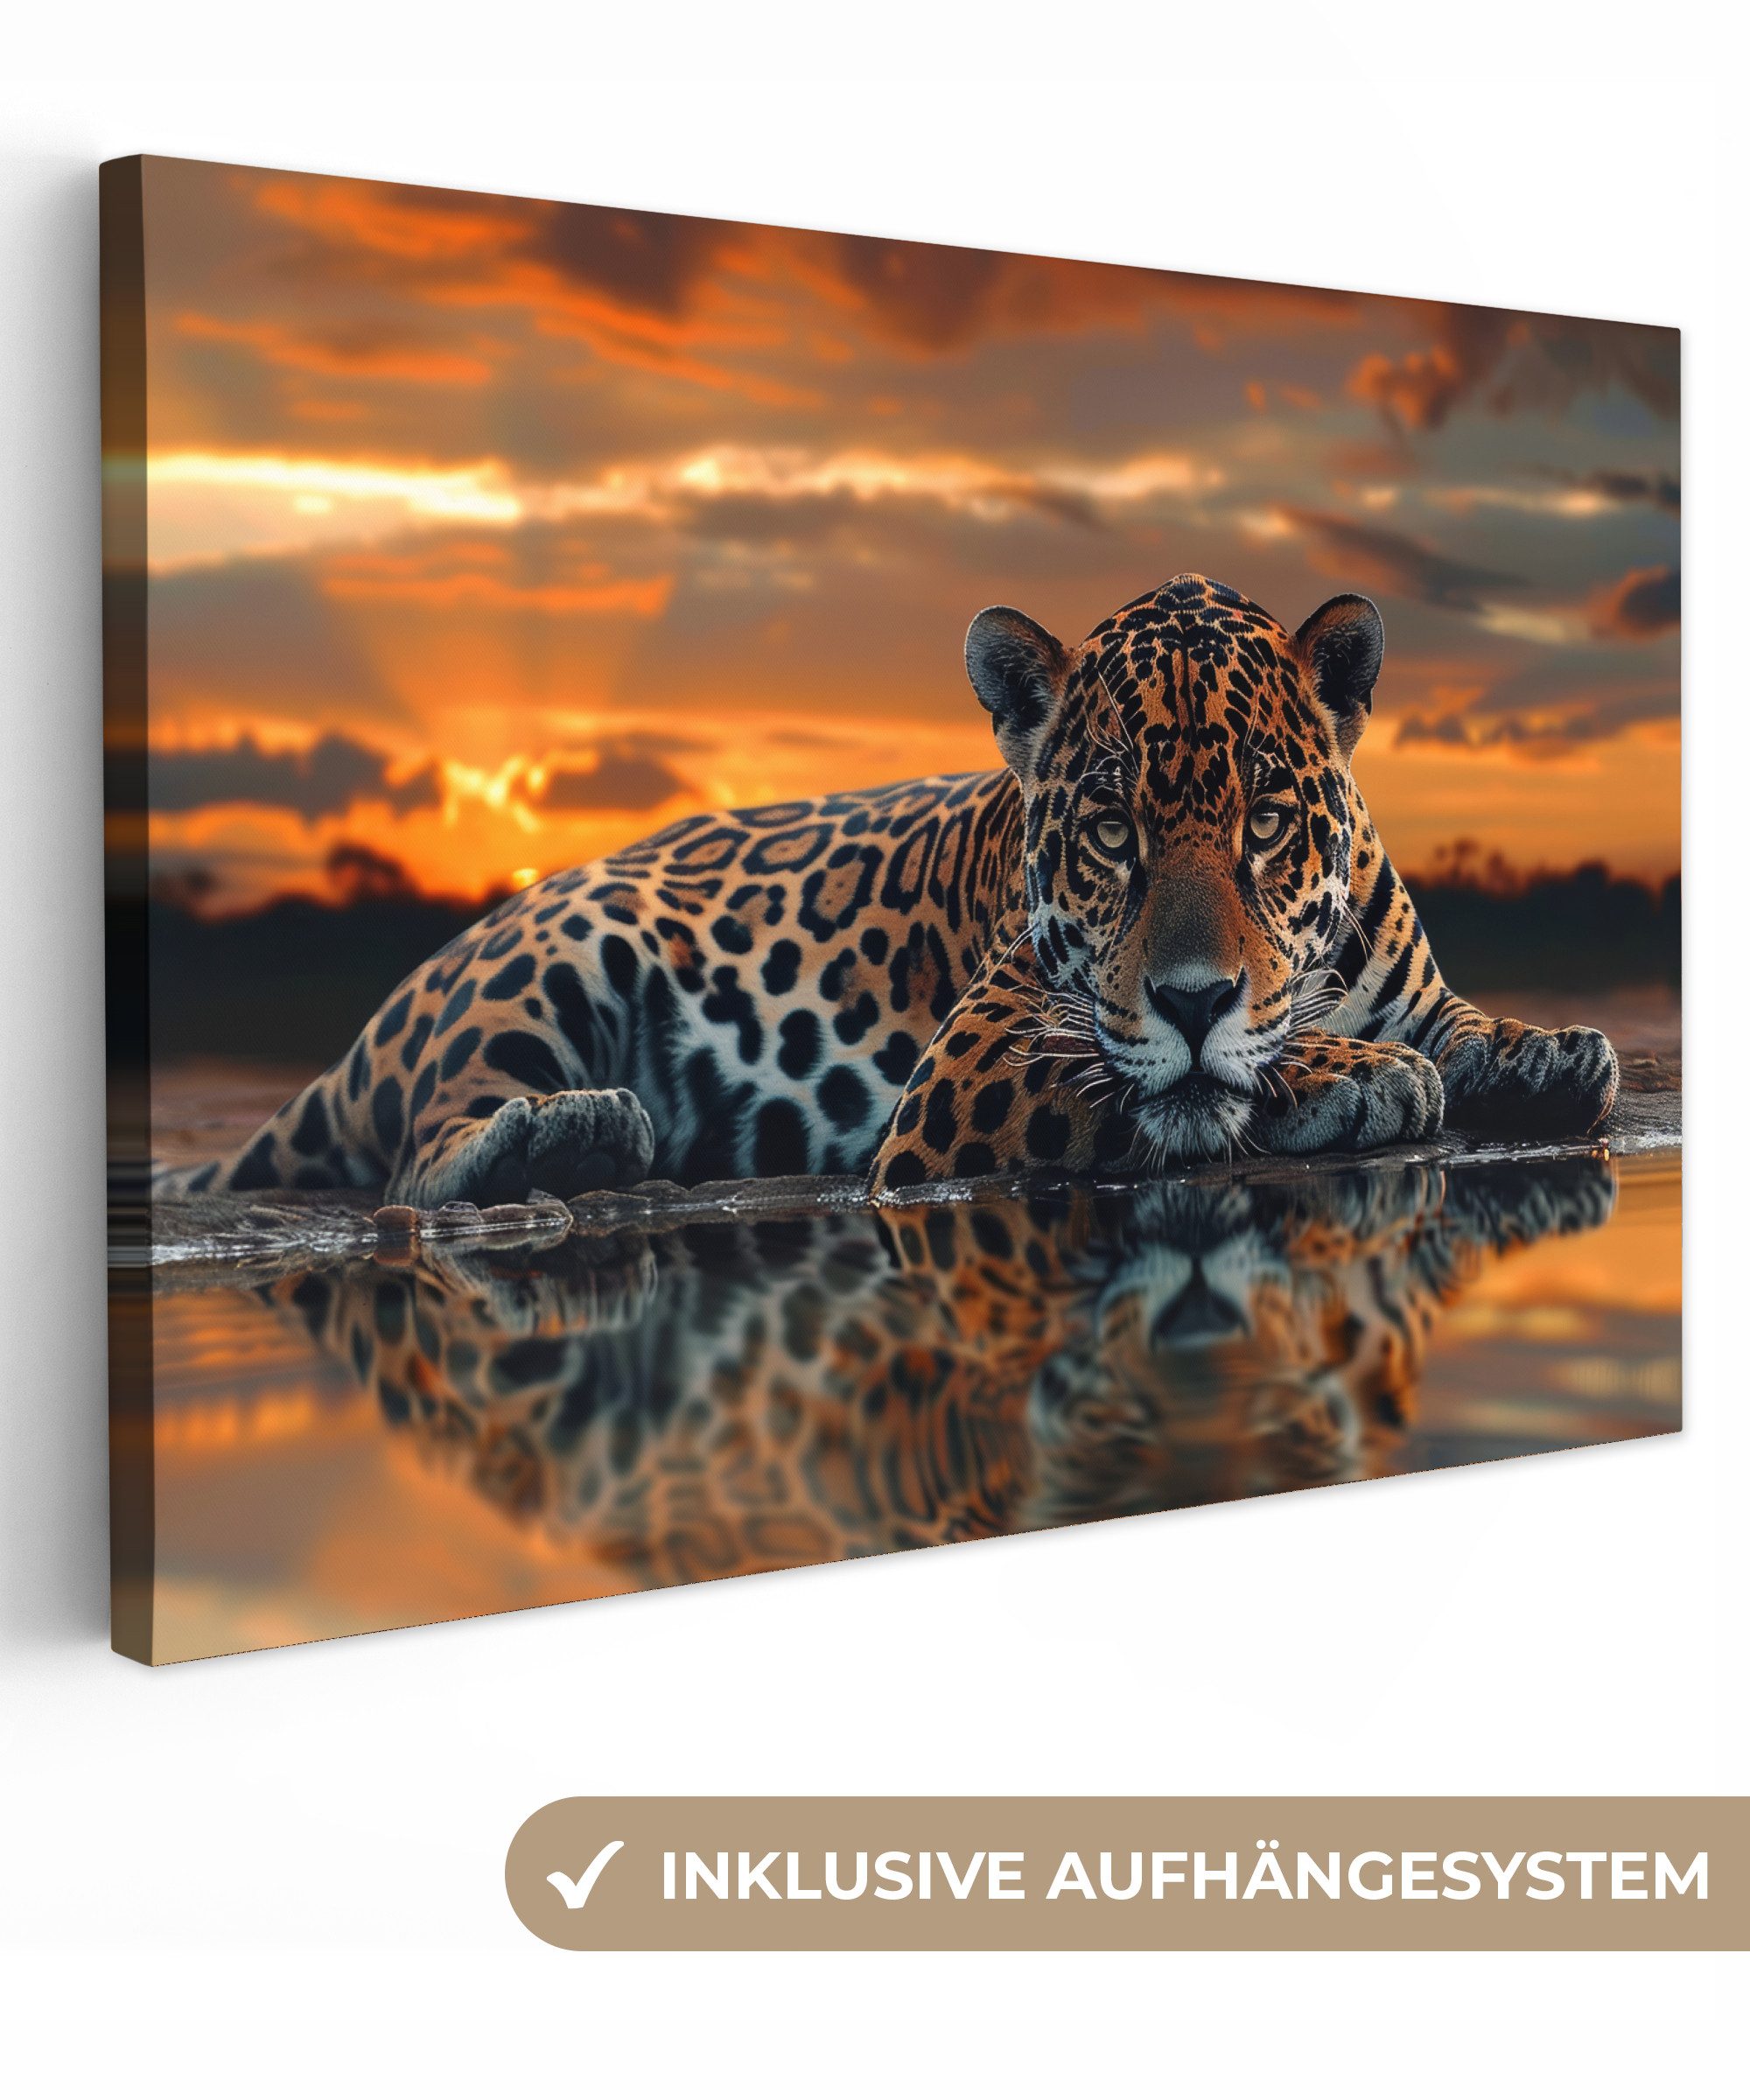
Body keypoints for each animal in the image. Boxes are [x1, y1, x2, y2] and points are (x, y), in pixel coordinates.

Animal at [158, 573, 1619, 1209]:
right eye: (1109, 830)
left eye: (1264, 821)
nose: (1195, 996)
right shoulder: (975, 1070)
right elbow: (1180, 1084)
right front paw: (1349, 1073)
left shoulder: (1403, 980)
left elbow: (1456, 1023)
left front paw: (1543, 1051)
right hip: (555, 956)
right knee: (417, 1165)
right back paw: (568, 1136)